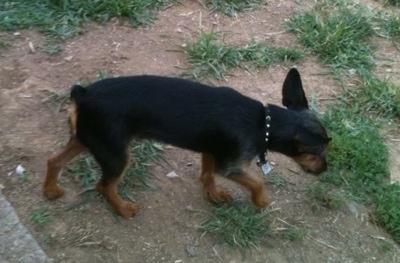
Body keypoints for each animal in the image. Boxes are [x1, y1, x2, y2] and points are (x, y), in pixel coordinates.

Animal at [43, 68, 332, 219]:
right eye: (318, 152)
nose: (325, 169)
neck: (265, 124)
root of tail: (83, 94)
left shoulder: (211, 151)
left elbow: (207, 175)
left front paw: (214, 195)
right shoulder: (229, 166)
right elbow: (257, 181)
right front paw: (260, 201)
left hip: (90, 140)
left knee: (53, 160)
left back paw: (51, 190)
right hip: (115, 154)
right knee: (103, 185)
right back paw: (123, 209)